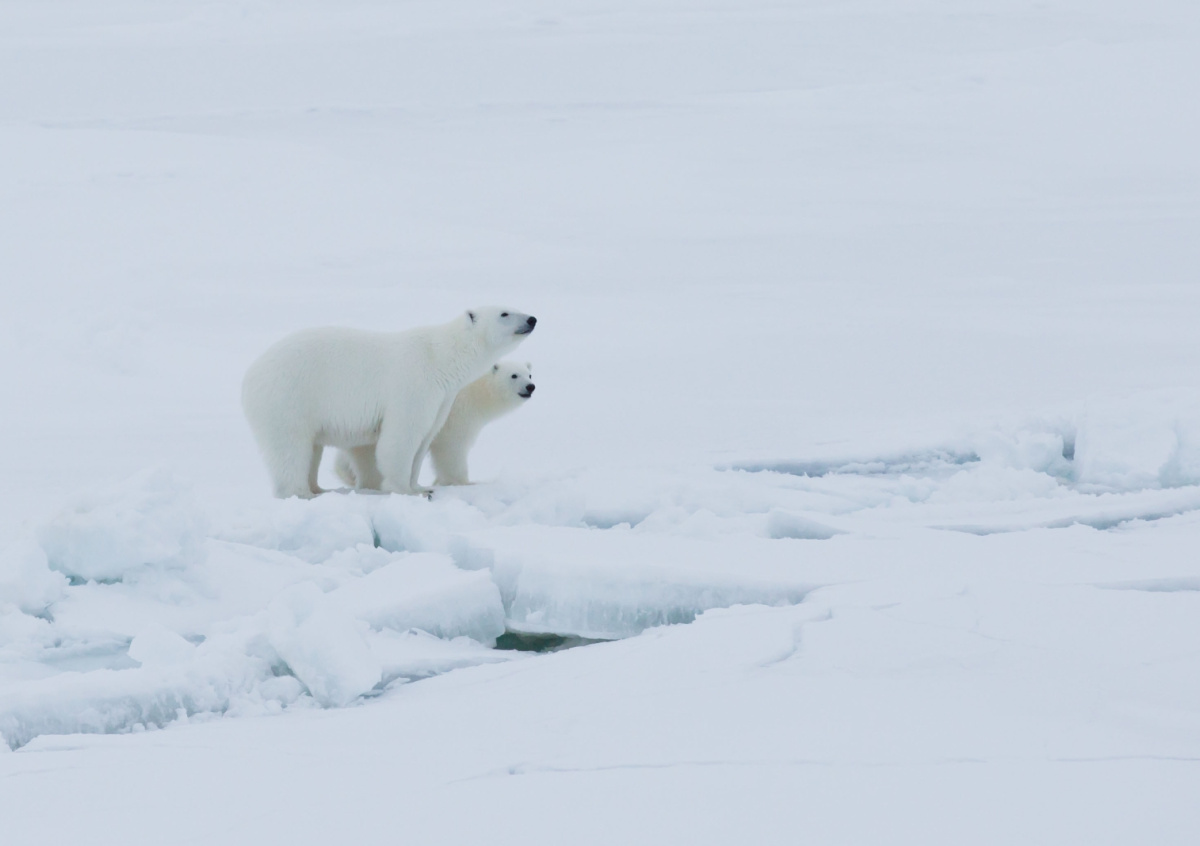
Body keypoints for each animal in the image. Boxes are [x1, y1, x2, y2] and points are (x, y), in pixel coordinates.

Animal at [334, 361, 535, 489]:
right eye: (514, 375)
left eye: (530, 374)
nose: (530, 387)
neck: (476, 391)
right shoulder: (458, 415)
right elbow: (452, 448)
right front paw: (464, 481)